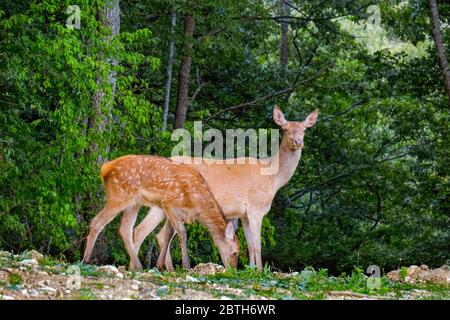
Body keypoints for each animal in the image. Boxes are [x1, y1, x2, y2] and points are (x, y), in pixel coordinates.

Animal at [81, 155, 239, 270]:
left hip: (134, 203)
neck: (196, 202)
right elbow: (182, 233)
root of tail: (105, 168)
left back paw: (138, 266)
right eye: (235, 252)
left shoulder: (169, 209)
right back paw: (85, 260)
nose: (233, 270)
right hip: (119, 196)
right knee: (97, 222)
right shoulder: (169, 203)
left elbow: (168, 234)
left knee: (125, 229)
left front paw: (161, 265)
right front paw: (186, 266)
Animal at [125, 106, 318, 272]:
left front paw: (251, 270)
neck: (273, 178)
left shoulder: (244, 214)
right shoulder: (256, 208)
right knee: (146, 231)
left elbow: (249, 244)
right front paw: (260, 271)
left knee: (150, 232)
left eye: (304, 130)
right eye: (285, 129)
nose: (298, 142)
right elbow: (257, 245)